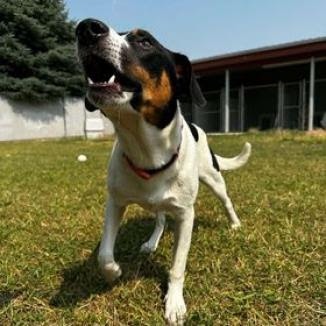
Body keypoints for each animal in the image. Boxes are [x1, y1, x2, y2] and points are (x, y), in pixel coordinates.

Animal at [76, 19, 252, 324]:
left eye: (145, 42)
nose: (86, 27)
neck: (147, 152)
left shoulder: (185, 216)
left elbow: (177, 265)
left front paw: (174, 303)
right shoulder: (115, 202)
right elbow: (104, 254)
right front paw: (113, 273)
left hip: (213, 178)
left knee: (226, 200)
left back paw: (234, 224)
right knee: (158, 220)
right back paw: (151, 242)